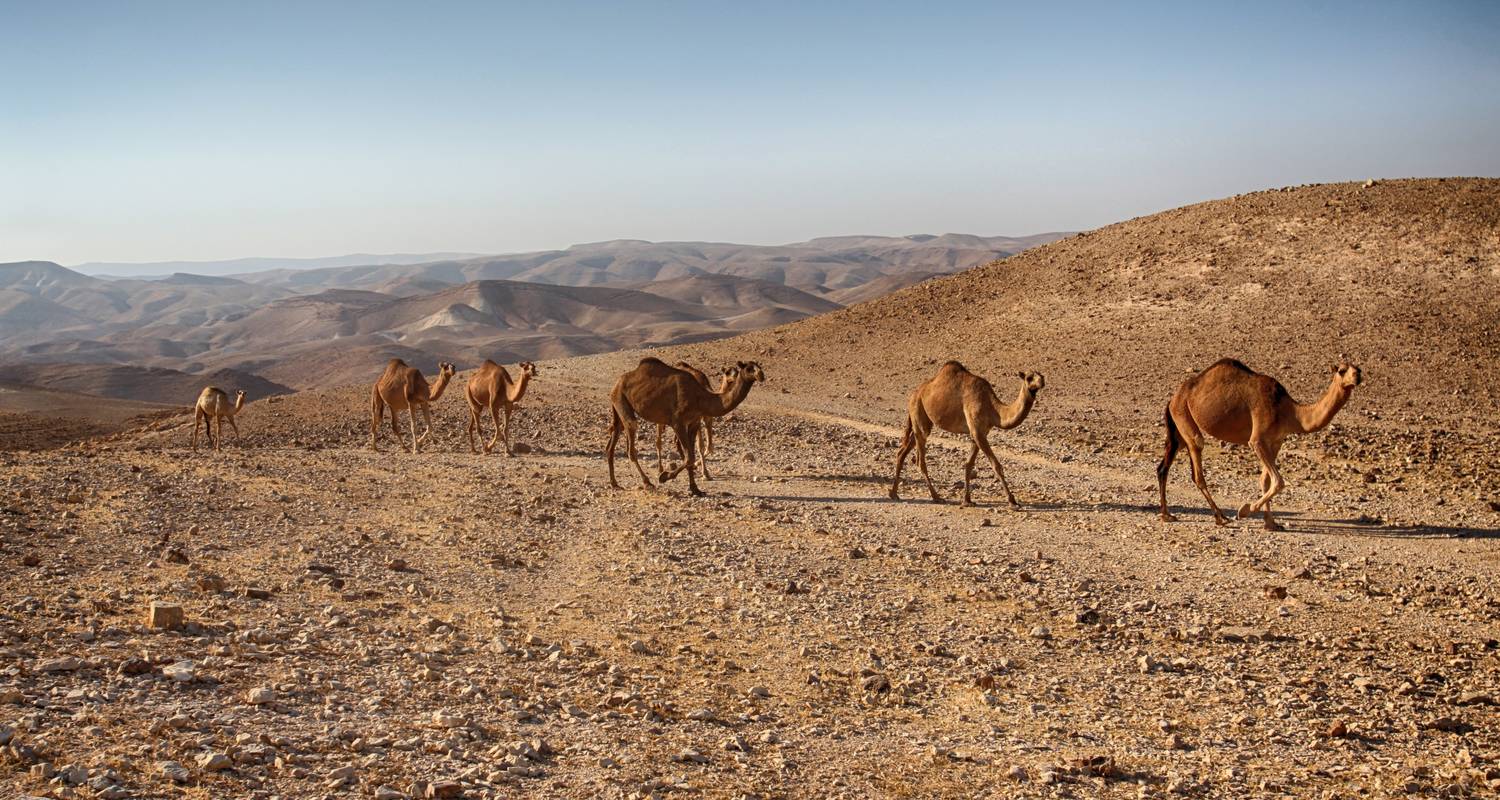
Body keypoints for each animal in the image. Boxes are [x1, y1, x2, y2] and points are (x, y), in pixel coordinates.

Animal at [606, 355, 768, 492]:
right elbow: (689, 456)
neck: (700, 398)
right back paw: (647, 482)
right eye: (749, 368)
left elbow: (691, 455)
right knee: (631, 442)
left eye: (759, 366)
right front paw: (664, 476)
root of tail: (616, 383)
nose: (761, 375)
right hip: (621, 398)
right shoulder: (678, 422)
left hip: (618, 404)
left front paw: (695, 488)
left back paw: (614, 483)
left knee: (613, 440)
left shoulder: (694, 422)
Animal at [888, 360, 1044, 504]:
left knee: (902, 451)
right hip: (918, 412)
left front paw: (967, 500)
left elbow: (969, 464)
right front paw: (1012, 501)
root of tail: (914, 394)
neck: (992, 408)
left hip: (921, 420)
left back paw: (894, 493)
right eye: (1029, 377)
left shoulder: (980, 432)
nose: (1042, 382)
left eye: (1041, 375)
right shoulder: (977, 430)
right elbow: (996, 465)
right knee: (920, 460)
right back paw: (936, 497)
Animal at [1152, 358, 1368, 528]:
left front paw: (1271, 523)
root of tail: (1173, 399)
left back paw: (1166, 514)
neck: (1288, 411)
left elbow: (1266, 480)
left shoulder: (1276, 441)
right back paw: (1221, 517)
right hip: (1184, 416)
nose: (1357, 376)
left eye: (1358, 368)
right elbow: (1278, 481)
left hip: (1178, 428)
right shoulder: (1257, 440)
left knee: (1163, 467)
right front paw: (1245, 510)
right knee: (1197, 462)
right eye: (1342, 370)